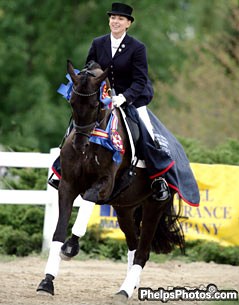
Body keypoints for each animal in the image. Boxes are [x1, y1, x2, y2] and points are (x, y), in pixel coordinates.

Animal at [36, 60, 184, 302]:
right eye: (72, 102)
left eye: (96, 104)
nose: (80, 145)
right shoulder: (67, 186)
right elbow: (57, 233)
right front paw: (47, 282)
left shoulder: (104, 185)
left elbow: (88, 199)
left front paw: (71, 247)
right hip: (125, 208)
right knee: (133, 245)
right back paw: (130, 286)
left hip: (154, 206)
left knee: (143, 252)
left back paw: (125, 290)